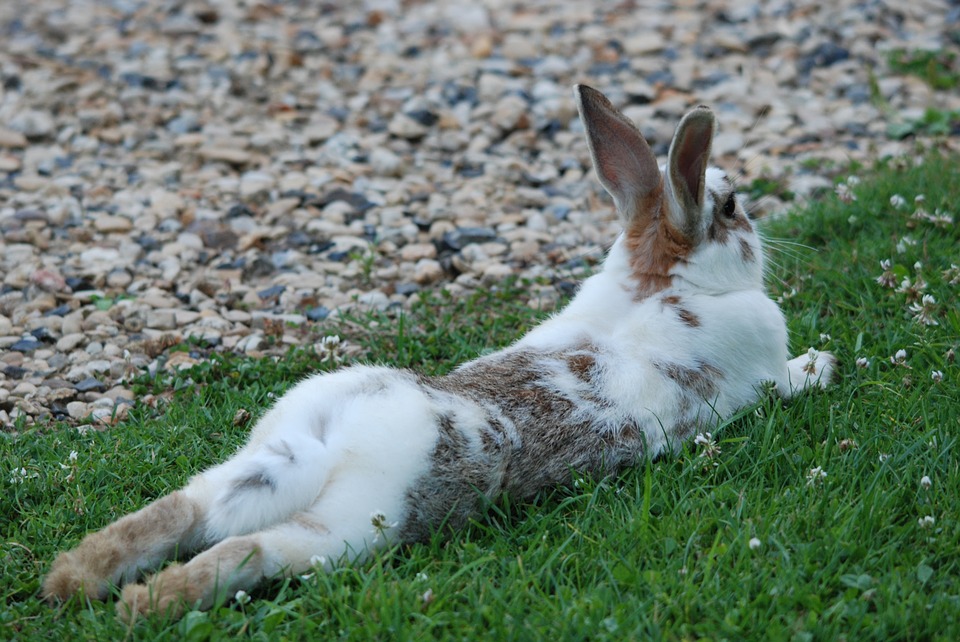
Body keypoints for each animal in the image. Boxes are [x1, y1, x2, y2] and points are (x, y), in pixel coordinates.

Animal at [41, 82, 832, 616]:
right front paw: (824, 364)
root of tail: (332, 442)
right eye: (732, 208)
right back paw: (141, 606)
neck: (658, 284)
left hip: (257, 461)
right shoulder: (759, 376)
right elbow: (789, 379)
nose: (759, 226)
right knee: (245, 549)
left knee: (178, 514)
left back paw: (70, 580)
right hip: (352, 527)